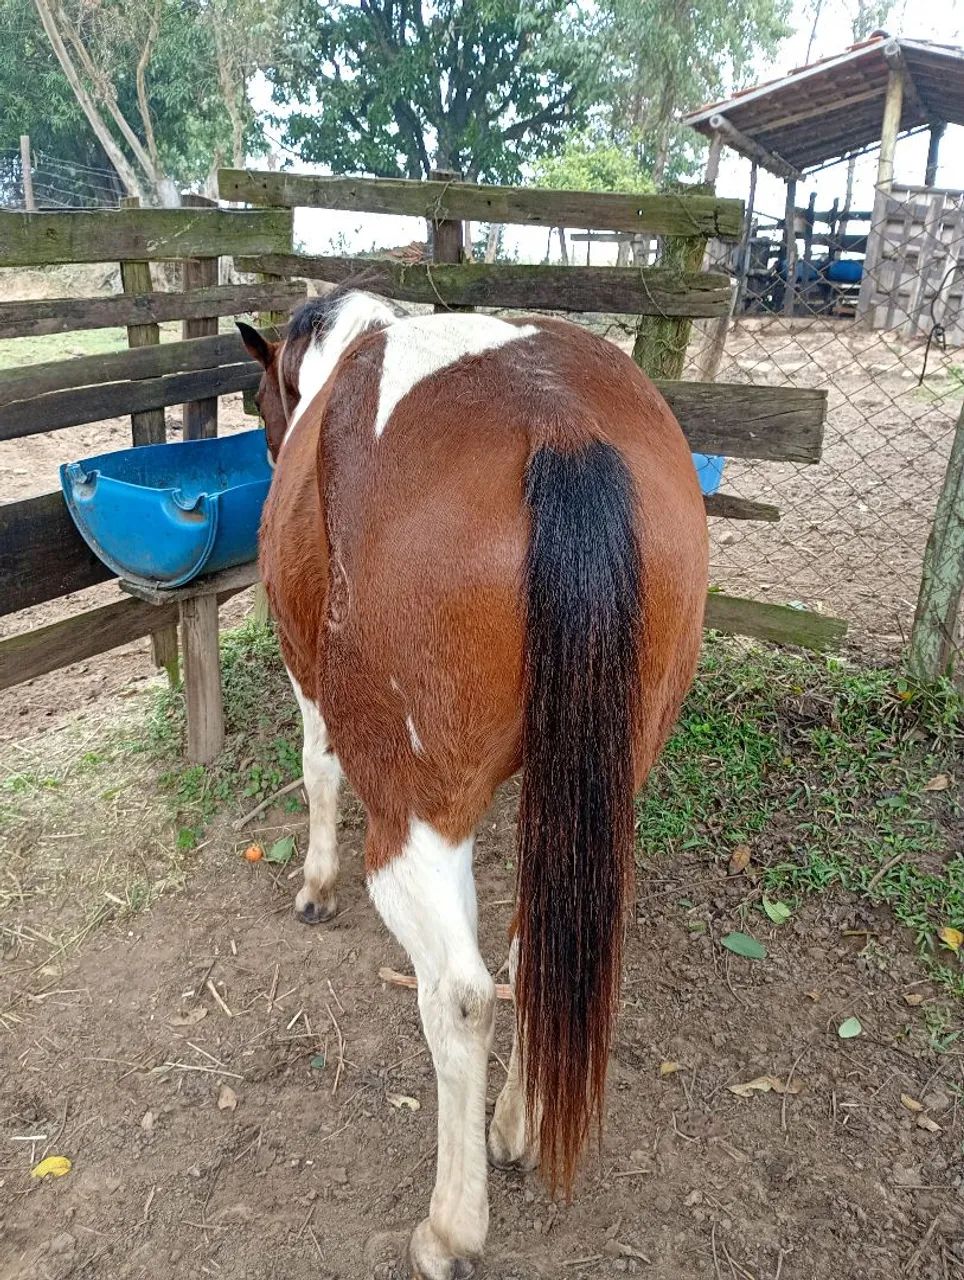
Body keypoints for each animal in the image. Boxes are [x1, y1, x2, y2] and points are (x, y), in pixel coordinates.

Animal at [236, 290, 707, 1279]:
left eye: (262, 406)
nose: (268, 442)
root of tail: (559, 424)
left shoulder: (307, 676)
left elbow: (316, 769)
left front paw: (315, 886)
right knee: (534, 956)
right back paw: (519, 1124)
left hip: (416, 819)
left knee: (461, 996)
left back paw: (452, 1224)